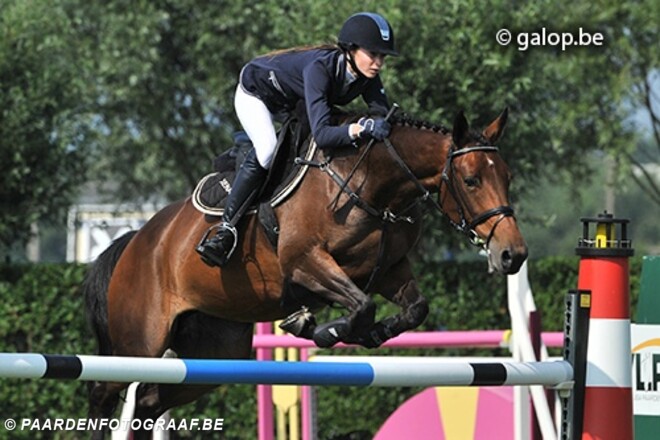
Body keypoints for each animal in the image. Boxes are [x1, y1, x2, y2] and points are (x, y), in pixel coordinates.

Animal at [83, 108, 527, 438]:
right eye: (471, 180)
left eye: (508, 178)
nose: (513, 255)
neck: (369, 184)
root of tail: (136, 240)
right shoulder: (306, 263)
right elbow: (360, 305)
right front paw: (324, 330)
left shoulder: (389, 270)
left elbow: (414, 307)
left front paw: (364, 332)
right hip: (139, 343)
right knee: (103, 391)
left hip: (212, 353)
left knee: (148, 401)